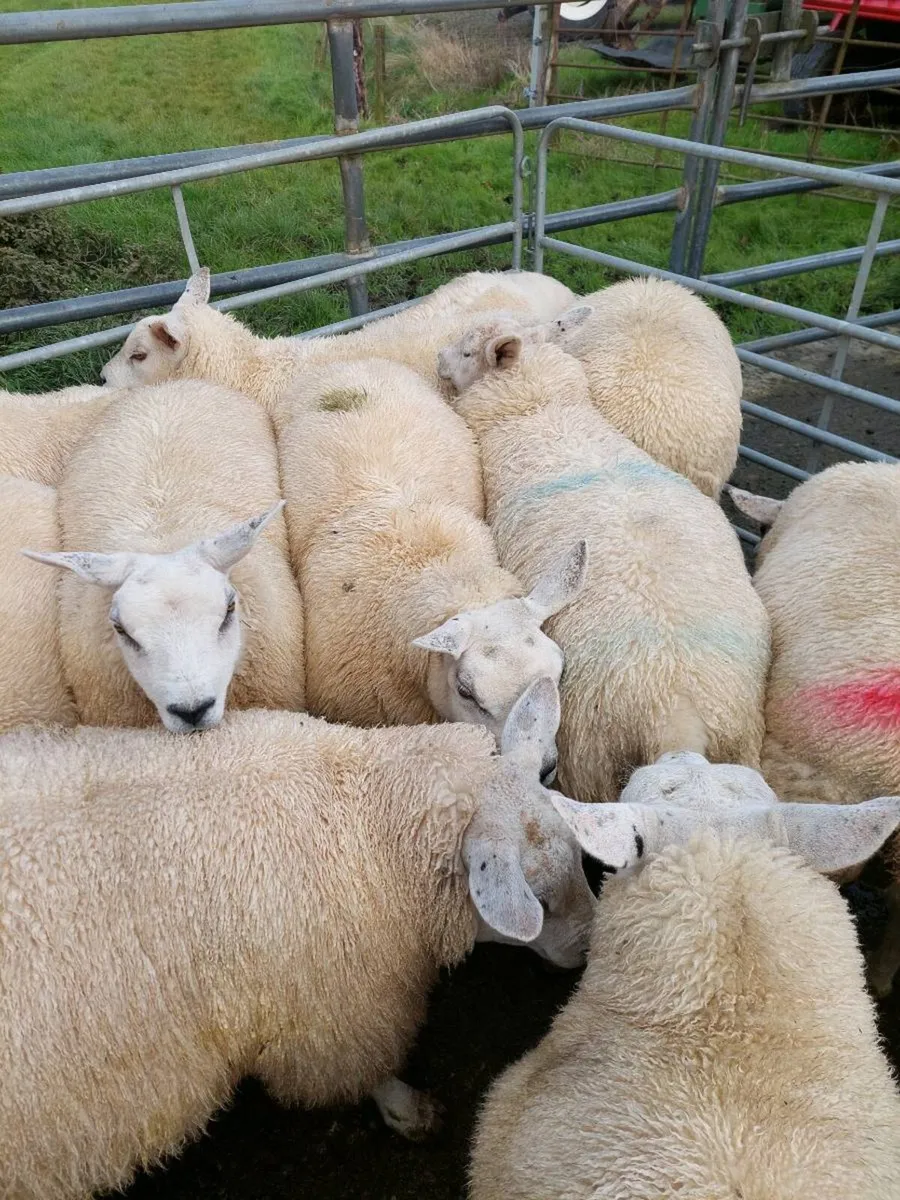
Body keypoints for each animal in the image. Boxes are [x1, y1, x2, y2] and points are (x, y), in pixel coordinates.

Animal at [0, 680, 598, 1199]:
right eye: (540, 902)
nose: (586, 950)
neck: (368, 825)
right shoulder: (331, 1014)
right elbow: (372, 1070)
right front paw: (410, 1111)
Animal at [441, 331, 770, 802]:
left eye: (467, 350)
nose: (436, 359)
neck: (540, 409)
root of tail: (675, 709)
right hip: (738, 739)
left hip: (589, 764)